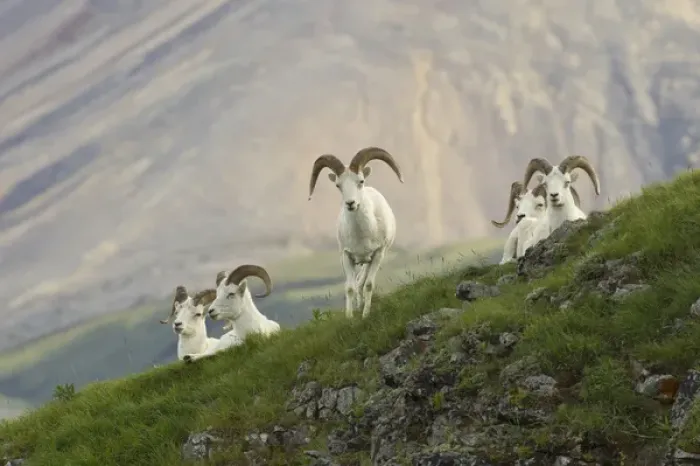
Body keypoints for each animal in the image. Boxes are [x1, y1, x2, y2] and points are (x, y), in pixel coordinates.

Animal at [307, 147, 404, 318]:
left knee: (362, 282)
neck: (362, 235)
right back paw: (358, 306)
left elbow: (369, 285)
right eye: (338, 185)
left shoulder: (378, 254)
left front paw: (365, 316)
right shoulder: (346, 256)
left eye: (360, 181)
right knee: (357, 283)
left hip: (369, 262)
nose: (350, 203)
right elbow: (350, 288)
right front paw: (350, 317)